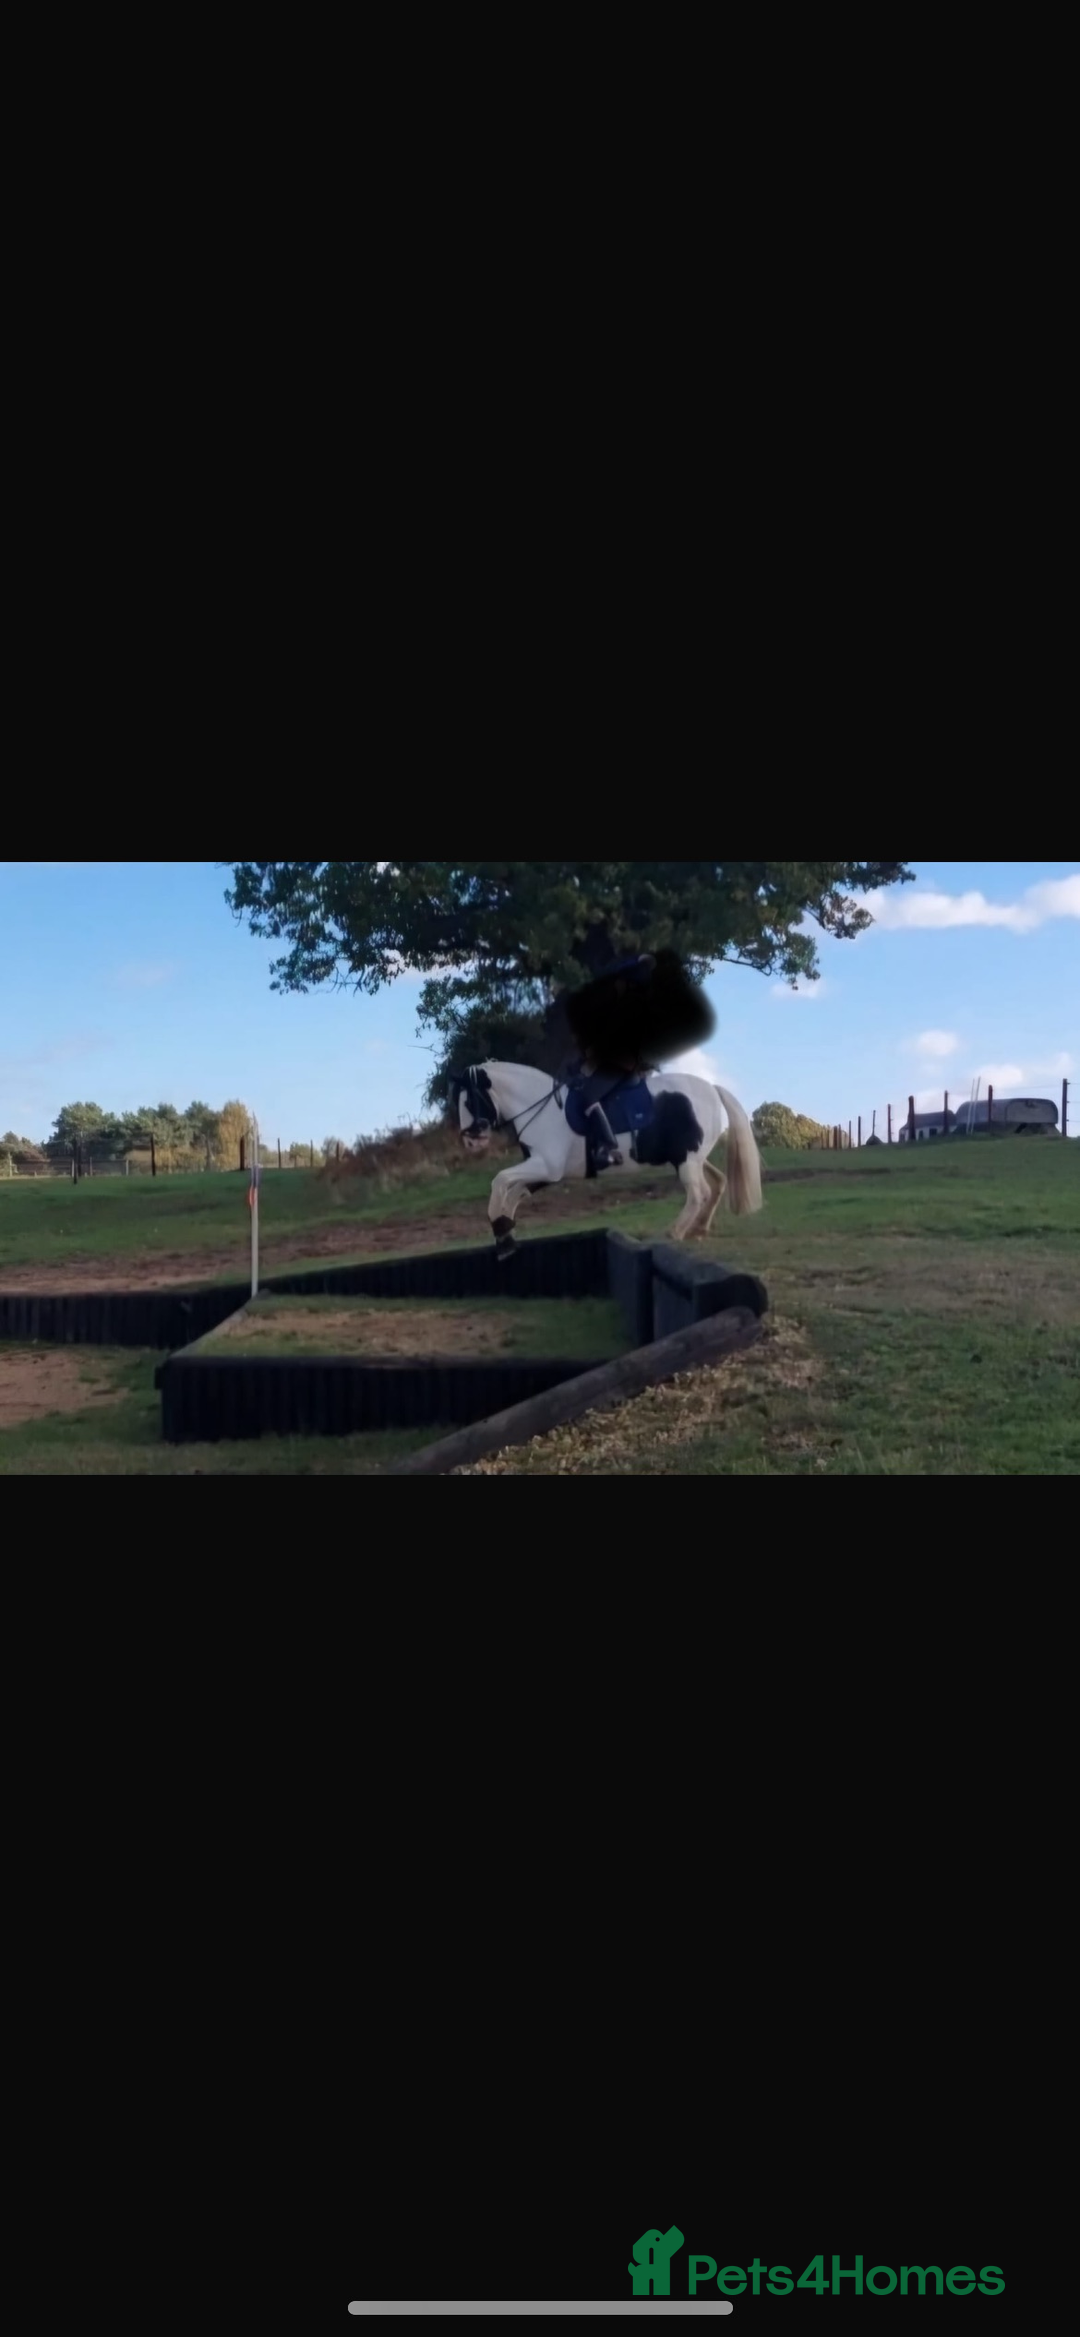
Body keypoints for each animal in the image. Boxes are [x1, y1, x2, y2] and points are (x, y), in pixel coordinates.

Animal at [451, 1060, 764, 1258]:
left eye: (468, 1101)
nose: (469, 1140)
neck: (539, 1108)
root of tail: (712, 1088)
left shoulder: (547, 1166)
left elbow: (499, 1181)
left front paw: (500, 1229)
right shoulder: (544, 1171)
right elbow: (514, 1192)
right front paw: (505, 1232)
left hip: (687, 1161)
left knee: (699, 1193)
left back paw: (674, 1232)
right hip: (689, 1158)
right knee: (718, 1183)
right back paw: (698, 1229)